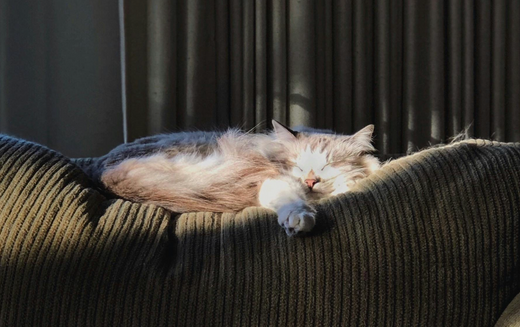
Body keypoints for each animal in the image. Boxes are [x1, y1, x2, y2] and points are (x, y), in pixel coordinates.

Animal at [91, 120, 380, 236]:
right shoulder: (272, 180)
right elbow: (292, 202)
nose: (310, 181)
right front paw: (299, 222)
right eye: (296, 165)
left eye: (329, 165)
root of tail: (104, 171)